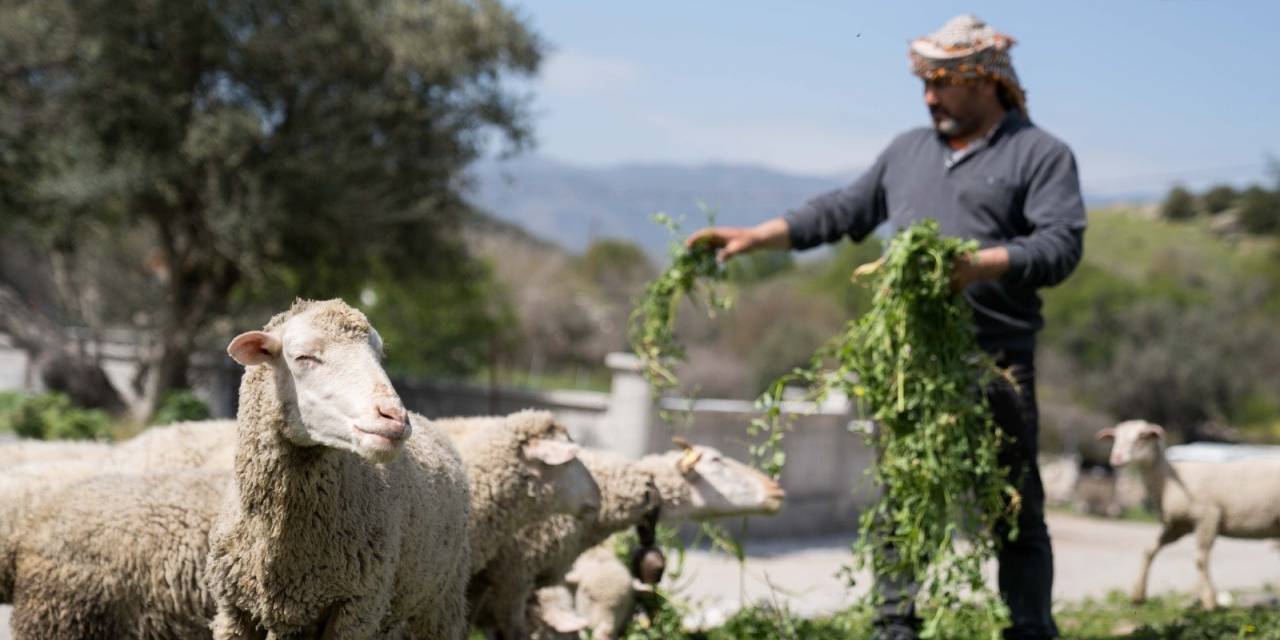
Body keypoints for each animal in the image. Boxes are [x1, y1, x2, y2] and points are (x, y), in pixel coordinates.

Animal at [202, 299, 473, 640]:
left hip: (440, 601)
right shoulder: (233, 610)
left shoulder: (356, 609)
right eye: (303, 357)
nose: (395, 418)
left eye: (378, 356)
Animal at [1095, 422, 1280, 606]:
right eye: (1115, 438)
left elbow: (1200, 559)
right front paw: (1137, 594)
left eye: (1141, 437)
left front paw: (1209, 600)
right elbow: (1149, 550)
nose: (1116, 458)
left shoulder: (1208, 516)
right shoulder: (1178, 525)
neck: (1169, 480)